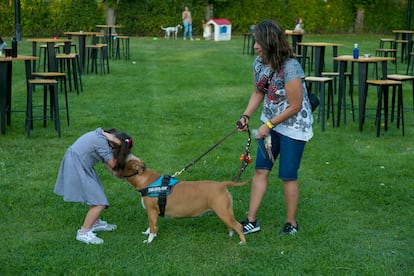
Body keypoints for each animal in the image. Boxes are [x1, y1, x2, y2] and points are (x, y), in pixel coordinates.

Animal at [120, 155, 249, 244]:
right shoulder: (153, 213)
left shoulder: (151, 211)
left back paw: (242, 242)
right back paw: (230, 235)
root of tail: (221, 185)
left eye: (122, 164)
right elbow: (152, 225)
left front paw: (149, 240)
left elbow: (152, 227)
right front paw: (148, 233)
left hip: (223, 212)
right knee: (231, 226)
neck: (147, 181)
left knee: (238, 226)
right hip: (225, 212)